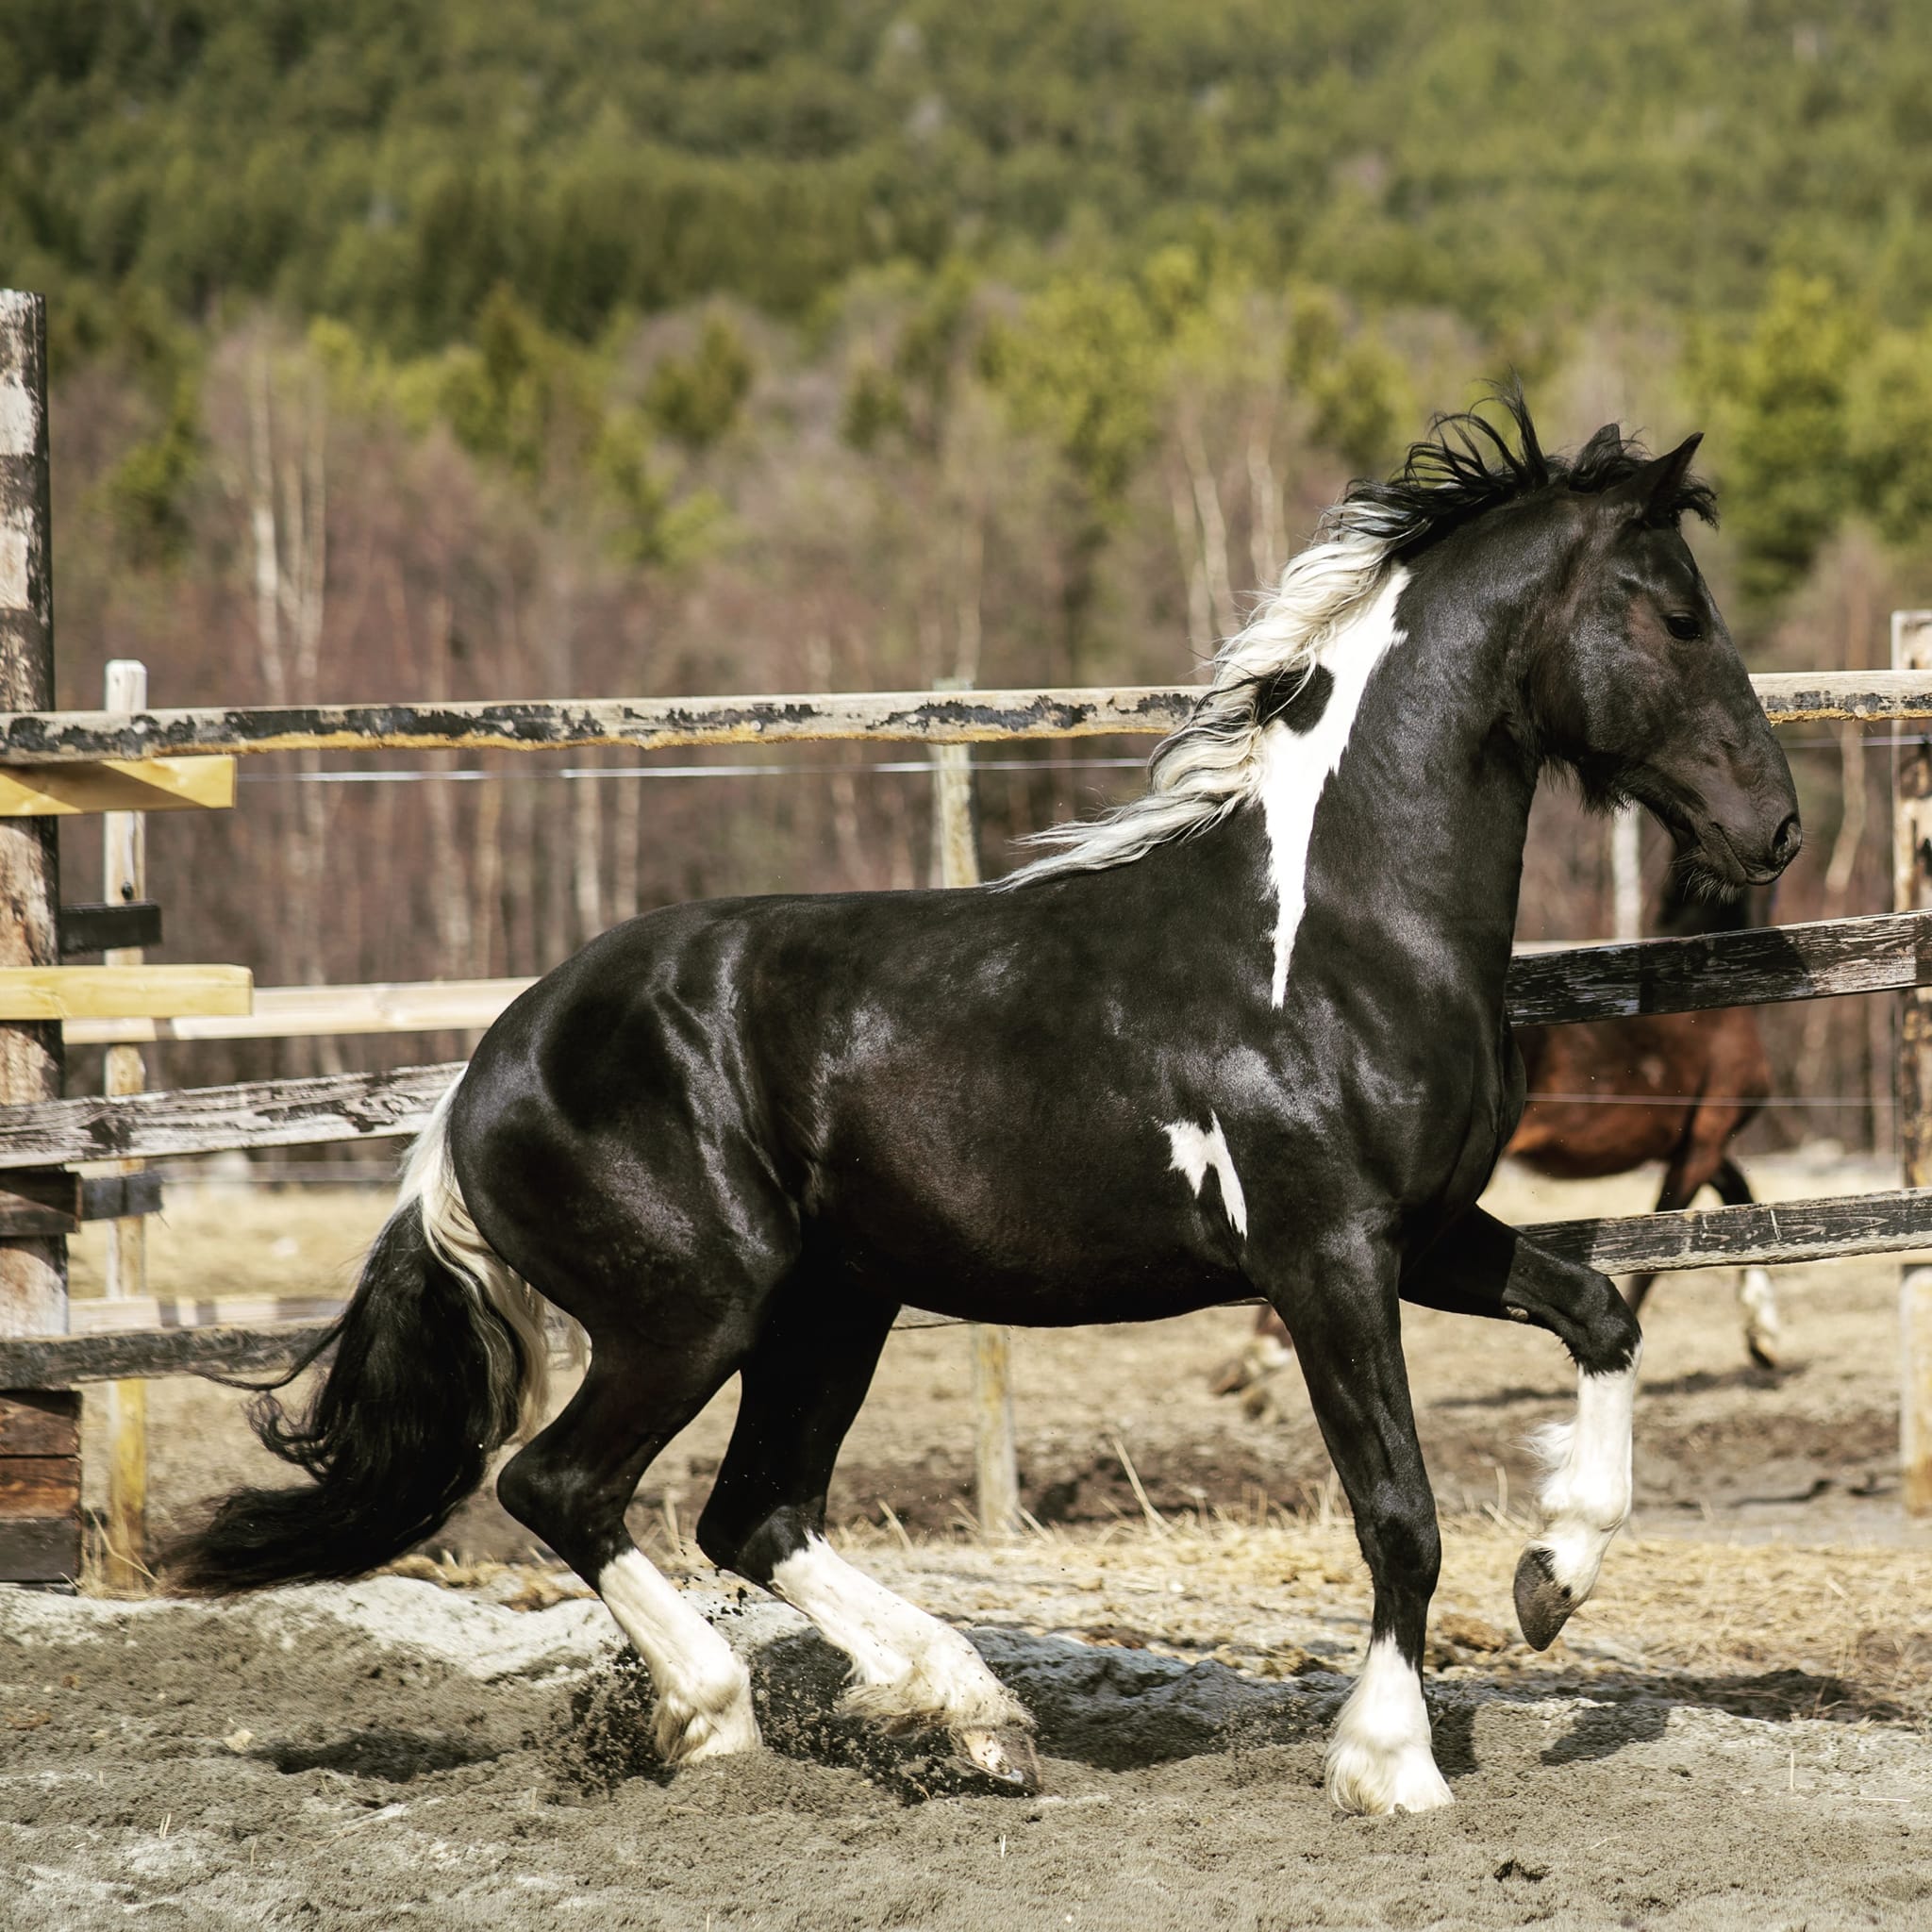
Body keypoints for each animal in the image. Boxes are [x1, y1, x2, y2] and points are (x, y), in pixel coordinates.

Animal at [1216, 878, 1784, 1412]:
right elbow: (1687, 1229)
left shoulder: (1690, 1146)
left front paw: (1763, 1336)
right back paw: (1254, 1366)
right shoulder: (1705, 1140)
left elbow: (1734, 1201)